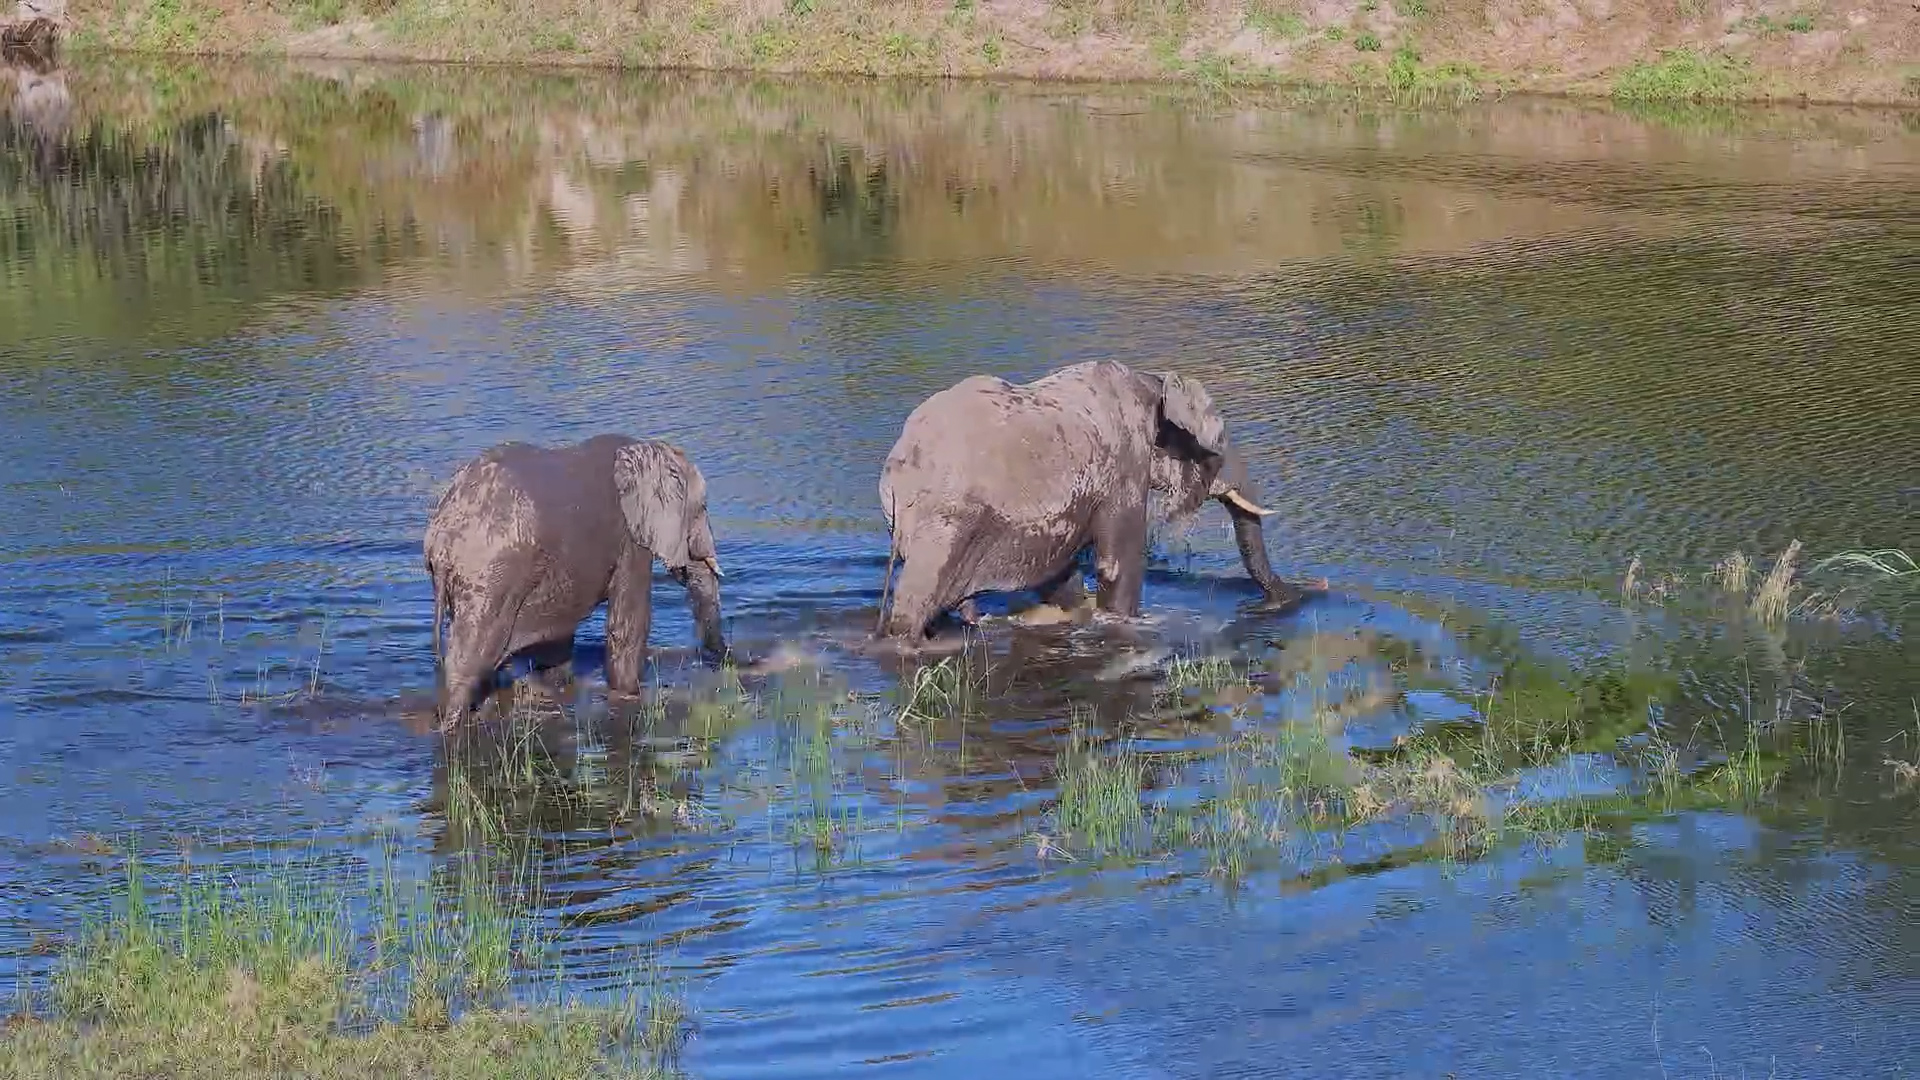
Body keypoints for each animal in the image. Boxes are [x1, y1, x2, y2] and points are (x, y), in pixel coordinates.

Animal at [423, 433, 726, 730]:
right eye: (702, 508)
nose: (725, 662)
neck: (644, 448)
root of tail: (441, 536)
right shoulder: (629, 540)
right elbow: (628, 625)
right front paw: (629, 695)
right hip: (492, 580)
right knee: (470, 661)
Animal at [874, 360, 1322, 640]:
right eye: (1220, 443)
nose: (1315, 589)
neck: (1153, 382)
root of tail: (898, 471)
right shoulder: (1123, 465)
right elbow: (1120, 561)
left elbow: (1061, 572)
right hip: (945, 522)